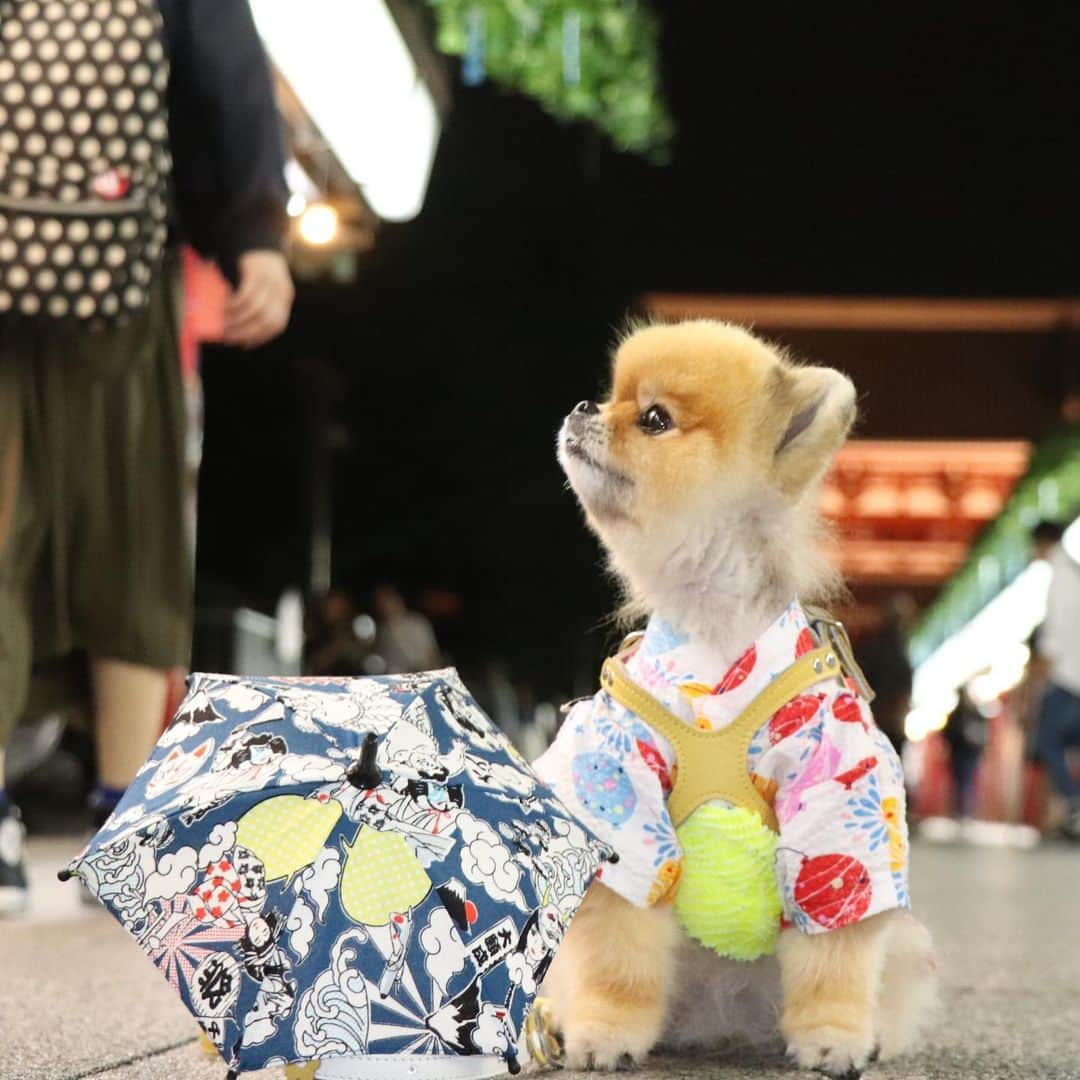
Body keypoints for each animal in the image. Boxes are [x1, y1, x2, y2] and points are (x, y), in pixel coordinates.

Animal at [535, 321, 941, 1080]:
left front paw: (833, 1037)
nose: (581, 406)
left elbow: (834, 951)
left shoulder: (837, 797)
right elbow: (619, 951)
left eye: (654, 418)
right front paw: (606, 1030)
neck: (712, 627)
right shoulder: (620, 790)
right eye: (608, 394)